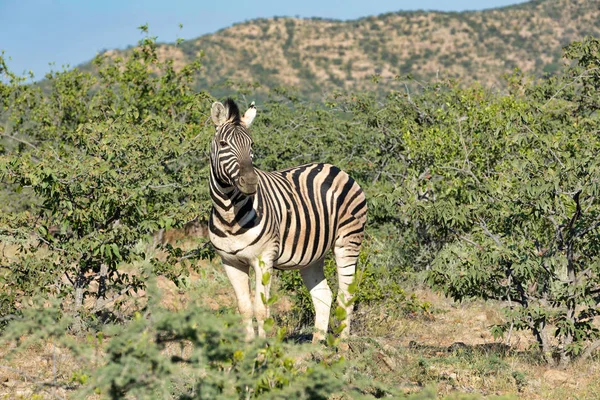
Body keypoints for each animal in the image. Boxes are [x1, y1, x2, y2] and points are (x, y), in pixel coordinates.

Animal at [207, 98, 366, 342]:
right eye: (223, 144)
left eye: (252, 145)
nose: (251, 182)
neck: (229, 214)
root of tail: (335, 168)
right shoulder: (230, 262)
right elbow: (244, 308)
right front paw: (249, 347)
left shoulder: (264, 259)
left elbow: (261, 308)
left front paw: (263, 349)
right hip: (313, 255)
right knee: (323, 295)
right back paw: (316, 347)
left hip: (348, 241)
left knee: (346, 296)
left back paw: (342, 346)